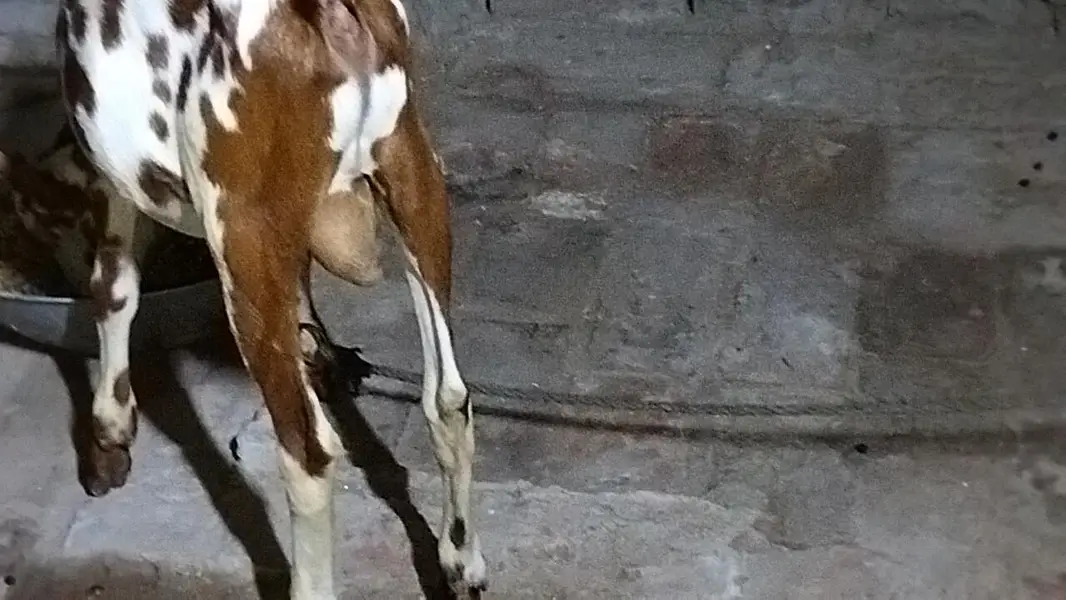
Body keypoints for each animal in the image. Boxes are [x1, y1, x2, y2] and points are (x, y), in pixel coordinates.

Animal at [18, 0, 488, 597]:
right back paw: (461, 561)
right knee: (448, 397)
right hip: (412, 171)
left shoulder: (115, 177)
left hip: (243, 234)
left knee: (310, 452)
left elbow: (115, 286)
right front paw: (318, 353)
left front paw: (109, 436)